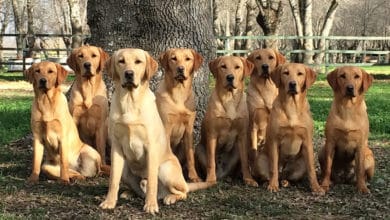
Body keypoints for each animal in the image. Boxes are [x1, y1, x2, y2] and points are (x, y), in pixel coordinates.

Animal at [155, 47, 204, 182]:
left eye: (188, 59)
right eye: (173, 58)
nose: (180, 69)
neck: (179, 93)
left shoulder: (188, 129)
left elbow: (190, 157)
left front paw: (194, 176)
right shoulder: (166, 126)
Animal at [195, 55, 258, 187]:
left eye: (237, 67)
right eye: (223, 66)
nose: (230, 77)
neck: (230, 98)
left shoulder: (242, 135)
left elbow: (245, 162)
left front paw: (248, 179)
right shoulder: (212, 135)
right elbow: (211, 162)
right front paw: (210, 180)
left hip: (237, 151)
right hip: (198, 149)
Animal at [251, 63, 324, 194]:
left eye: (300, 74)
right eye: (286, 73)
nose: (292, 84)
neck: (292, 107)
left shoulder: (307, 141)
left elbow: (312, 170)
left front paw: (316, 187)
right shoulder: (274, 141)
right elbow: (274, 167)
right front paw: (273, 185)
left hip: (301, 165)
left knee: (287, 176)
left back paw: (285, 182)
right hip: (259, 161)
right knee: (269, 174)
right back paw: (268, 182)